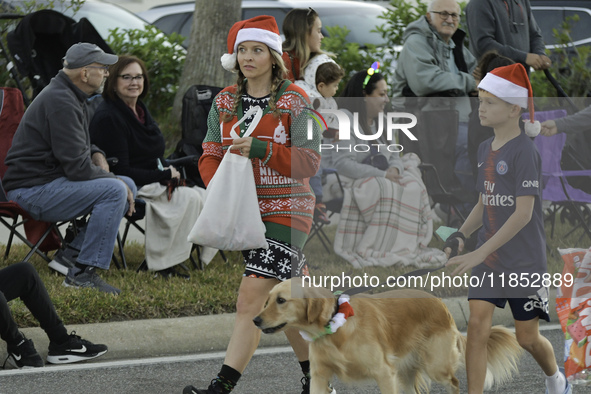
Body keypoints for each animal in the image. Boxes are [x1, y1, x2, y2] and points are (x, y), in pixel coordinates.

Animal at [254, 278, 524, 394]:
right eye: (266, 299)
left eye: (281, 301)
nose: (255, 320)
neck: (335, 329)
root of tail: (441, 304)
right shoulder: (320, 375)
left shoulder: (384, 373)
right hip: (406, 371)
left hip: (435, 366)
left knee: (455, 383)